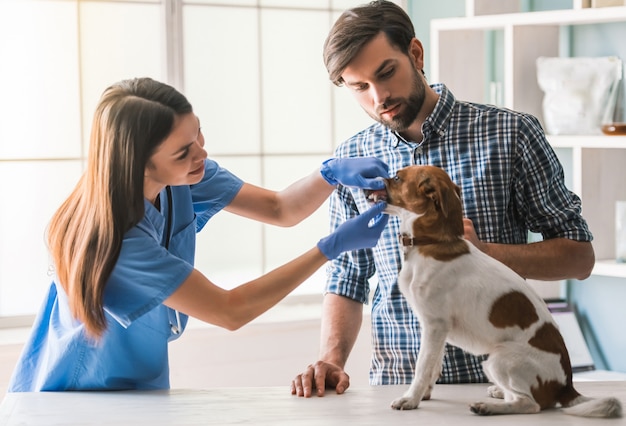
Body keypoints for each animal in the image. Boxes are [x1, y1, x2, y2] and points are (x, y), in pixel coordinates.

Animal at [366, 165, 620, 418]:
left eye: (396, 177)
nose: (367, 186)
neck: (430, 242)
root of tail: (566, 386)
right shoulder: (437, 330)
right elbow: (434, 365)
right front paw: (424, 394)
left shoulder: (435, 325)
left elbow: (422, 367)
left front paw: (410, 398)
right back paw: (498, 393)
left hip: (498, 359)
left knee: (530, 404)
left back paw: (488, 407)